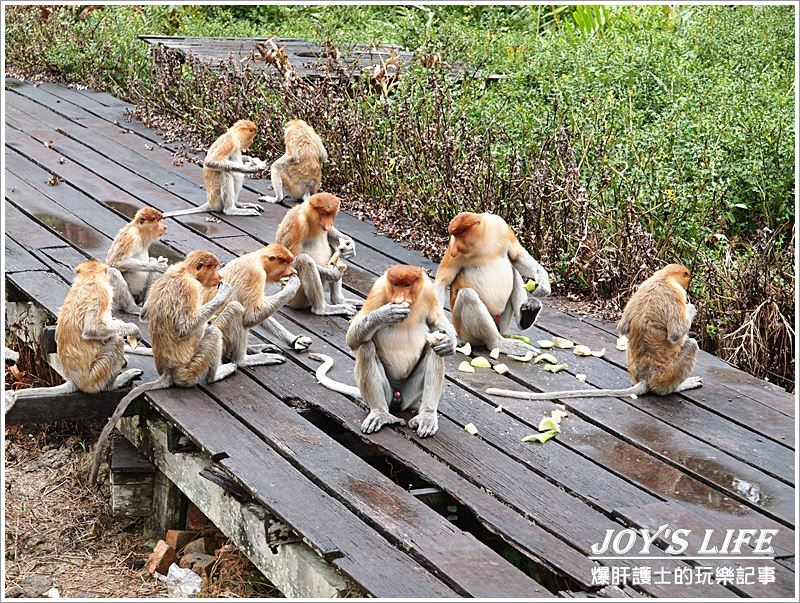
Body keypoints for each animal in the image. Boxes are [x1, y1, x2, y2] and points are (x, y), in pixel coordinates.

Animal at [3, 260, 142, 408]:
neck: (88, 279)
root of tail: (74, 381)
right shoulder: (101, 292)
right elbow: (92, 329)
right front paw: (133, 329)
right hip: (94, 377)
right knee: (116, 341)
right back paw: (115, 383)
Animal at [90, 251, 241, 486]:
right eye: (213, 269)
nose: (219, 277)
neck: (185, 271)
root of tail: (168, 373)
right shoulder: (191, 288)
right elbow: (185, 328)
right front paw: (223, 293)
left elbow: (145, 313)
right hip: (190, 369)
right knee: (213, 334)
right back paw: (217, 374)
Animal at [310, 266, 456, 436]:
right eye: (396, 284)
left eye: (407, 285)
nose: (399, 298)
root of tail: (397, 397)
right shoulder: (378, 290)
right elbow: (352, 337)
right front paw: (385, 314)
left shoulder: (428, 292)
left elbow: (437, 320)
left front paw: (449, 343)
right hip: (386, 393)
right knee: (366, 347)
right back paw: (380, 413)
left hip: (410, 397)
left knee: (434, 350)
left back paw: (427, 415)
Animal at [434, 212, 552, 358]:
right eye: (454, 235)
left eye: (460, 234)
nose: (455, 248)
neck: (481, 241)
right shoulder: (452, 250)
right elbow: (442, 282)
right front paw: (448, 339)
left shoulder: (501, 227)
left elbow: (517, 256)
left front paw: (543, 283)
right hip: (465, 331)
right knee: (468, 295)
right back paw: (499, 343)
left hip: (502, 321)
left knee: (514, 272)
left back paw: (526, 317)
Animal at [484, 264, 704, 402]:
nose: (691, 291)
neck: (663, 277)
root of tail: (645, 379)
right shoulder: (675, 294)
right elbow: (676, 334)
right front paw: (691, 307)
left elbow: (623, 327)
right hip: (665, 375)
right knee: (691, 346)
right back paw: (677, 387)